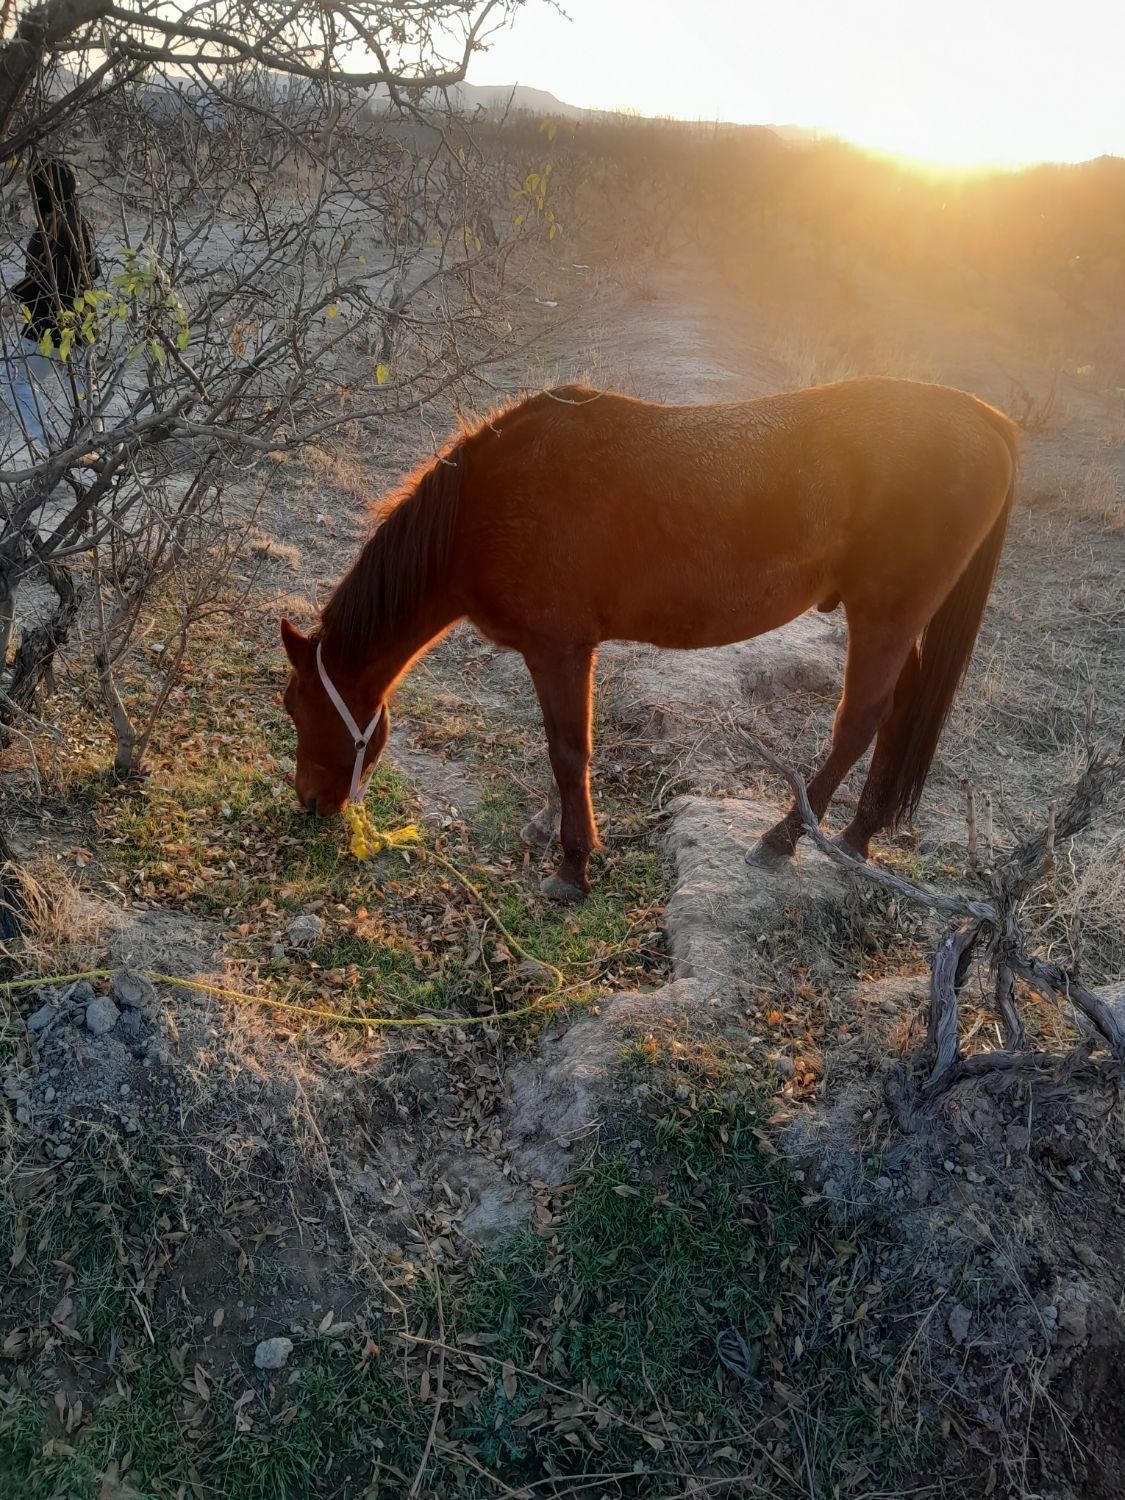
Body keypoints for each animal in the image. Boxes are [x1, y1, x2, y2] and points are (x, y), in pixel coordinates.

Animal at [282, 381, 1020, 900]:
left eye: (295, 707)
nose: (311, 804)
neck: (483, 508)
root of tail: (990, 421)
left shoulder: (558, 649)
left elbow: (568, 753)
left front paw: (572, 867)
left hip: (884, 616)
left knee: (859, 722)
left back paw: (784, 838)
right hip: (896, 621)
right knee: (898, 715)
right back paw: (860, 836)